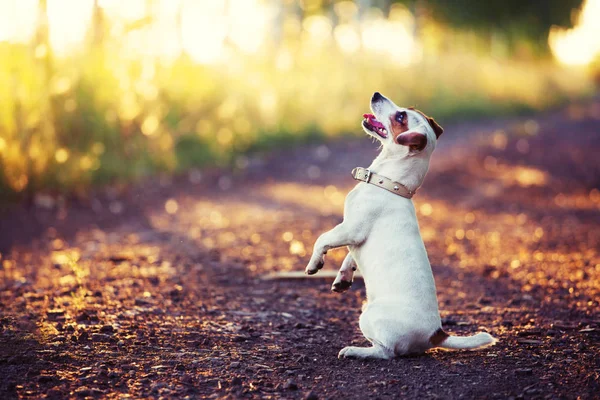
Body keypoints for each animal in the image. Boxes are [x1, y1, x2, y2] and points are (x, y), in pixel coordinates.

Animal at [304, 92, 496, 358]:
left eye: (401, 117)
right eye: (407, 109)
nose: (376, 94)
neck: (390, 184)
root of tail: (436, 334)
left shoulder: (351, 229)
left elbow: (322, 239)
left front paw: (314, 264)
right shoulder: (354, 238)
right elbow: (349, 257)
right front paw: (343, 277)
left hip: (369, 317)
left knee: (386, 352)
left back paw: (356, 351)